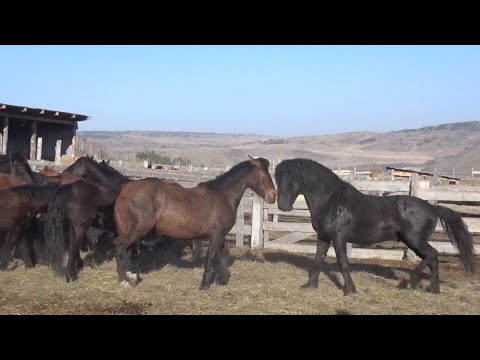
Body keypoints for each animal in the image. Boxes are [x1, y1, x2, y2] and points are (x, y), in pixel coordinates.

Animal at [114, 155, 276, 290]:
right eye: (264, 175)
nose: (273, 196)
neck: (223, 195)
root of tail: (124, 190)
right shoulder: (215, 234)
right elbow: (210, 259)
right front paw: (204, 285)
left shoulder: (220, 236)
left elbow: (219, 257)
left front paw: (220, 279)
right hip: (138, 229)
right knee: (120, 247)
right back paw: (125, 280)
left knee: (126, 251)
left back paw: (129, 277)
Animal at [274, 159, 476, 294]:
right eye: (277, 179)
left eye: (292, 180)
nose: (283, 206)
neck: (333, 202)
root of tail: (432, 207)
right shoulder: (323, 237)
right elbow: (317, 261)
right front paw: (310, 286)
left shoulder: (339, 238)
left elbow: (342, 263)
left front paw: (350, 290)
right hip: (413, 242)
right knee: (432, 258)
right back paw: (433, 289)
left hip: (415, 240)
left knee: (432, 255)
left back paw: (409, 282)